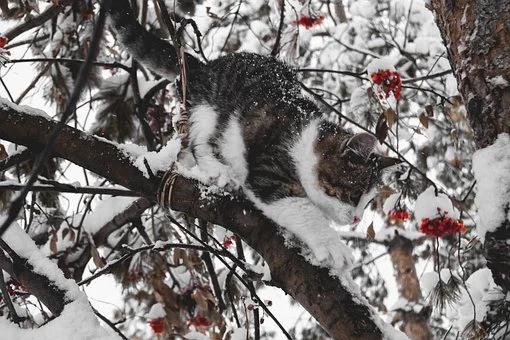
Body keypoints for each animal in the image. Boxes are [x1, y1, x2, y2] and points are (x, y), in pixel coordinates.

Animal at [108, 1, 402, 270]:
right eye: (354, 196)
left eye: (368, 202)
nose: (356, 219)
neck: (302, 138)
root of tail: (207, 67)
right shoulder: (267, 170)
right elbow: (300, 208)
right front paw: (332, 246)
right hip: (209, 111)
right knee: (198, 144)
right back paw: (219, 171)